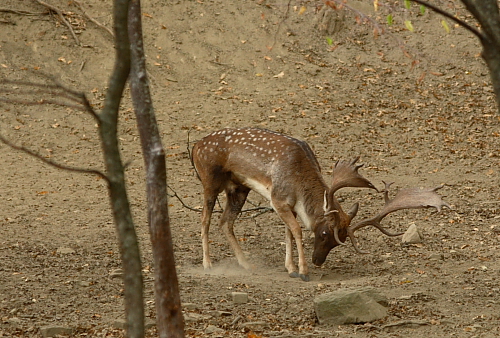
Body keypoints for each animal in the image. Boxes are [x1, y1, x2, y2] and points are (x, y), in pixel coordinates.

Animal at [191, 127, 450, 280]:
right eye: (325, 233)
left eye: (338, 242)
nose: (317, 261)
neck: (298, 181)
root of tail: (195, 146)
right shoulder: (277, 198)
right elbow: (297, 230)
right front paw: (302, 271)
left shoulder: (288, 205)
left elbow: (288, 232)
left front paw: (291, 268)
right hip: (210, 180)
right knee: (204, 219)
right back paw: (207, 264)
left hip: (238, 188)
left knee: (225, 222)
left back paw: (246, 264)